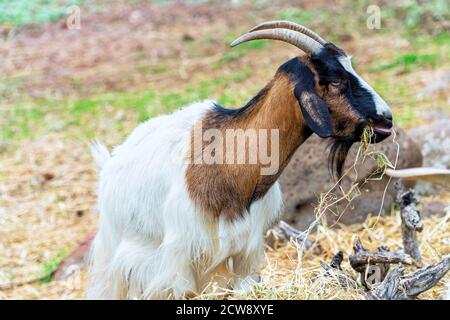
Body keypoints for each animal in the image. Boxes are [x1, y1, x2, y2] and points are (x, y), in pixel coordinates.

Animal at [88, 21, 394, 298]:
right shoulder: (180, 257)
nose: (387, 118)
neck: (229, 159)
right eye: (335, 80)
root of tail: (110, 163)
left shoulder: (243, 251)